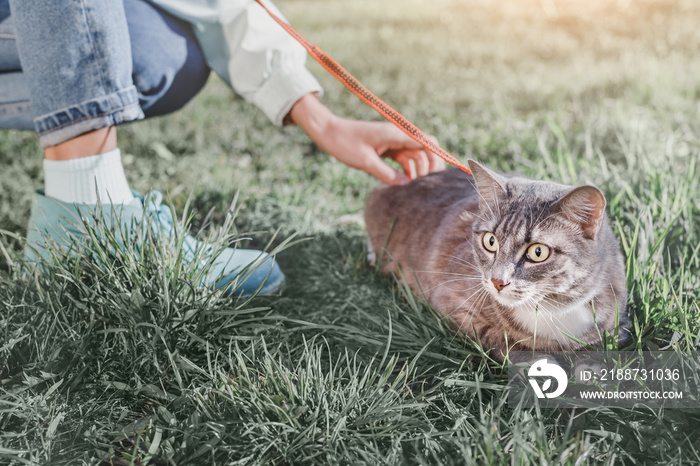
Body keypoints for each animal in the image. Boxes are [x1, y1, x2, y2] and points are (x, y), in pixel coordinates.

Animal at [366, 158, 628, 358]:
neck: (551, 309)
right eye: (490, 241)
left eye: (538, 252)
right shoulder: (450, 302)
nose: (497, 281)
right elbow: (504, 342)